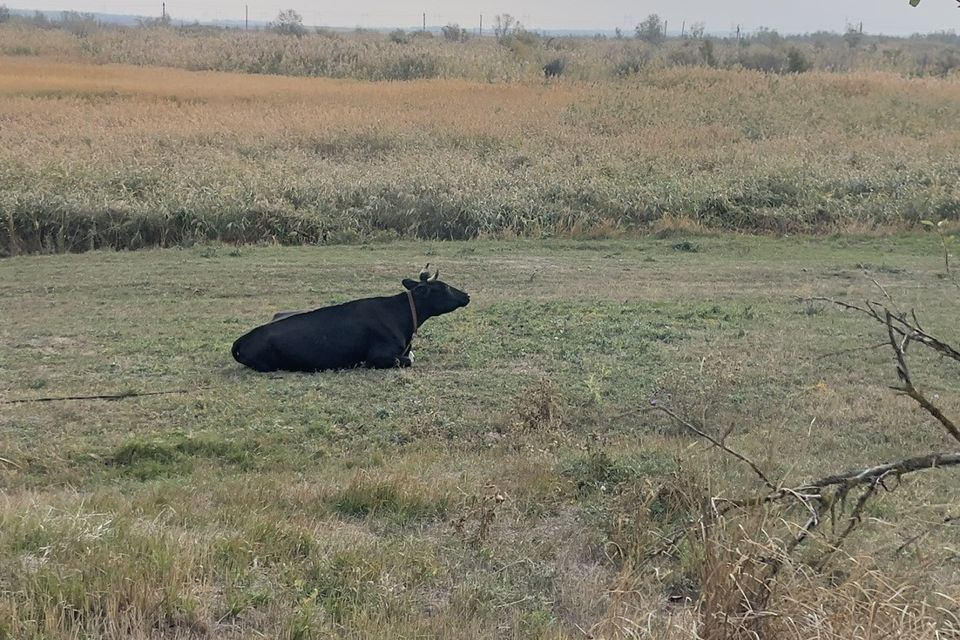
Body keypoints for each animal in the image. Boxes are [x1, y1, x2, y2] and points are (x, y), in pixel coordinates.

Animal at [233, 264, 472, 372]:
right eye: (444, 287)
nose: (467, 295)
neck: (400, 315)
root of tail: (244, 338)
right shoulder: (378, 357)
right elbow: (409, 360)